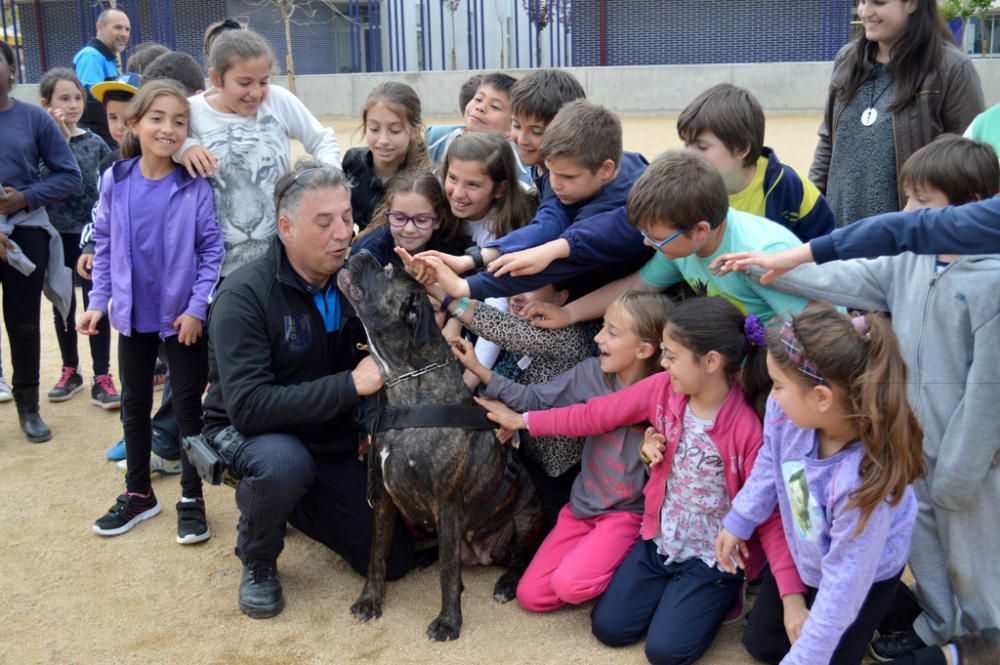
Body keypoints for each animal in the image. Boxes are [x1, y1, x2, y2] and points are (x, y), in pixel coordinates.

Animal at [342, 249, 548, 640]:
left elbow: (449, 574)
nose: (359, 250)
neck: (409, 384)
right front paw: (370, 600)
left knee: (520, 560)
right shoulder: (385, 498)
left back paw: (507, 583)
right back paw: (424, 555)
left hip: (526, 516)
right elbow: (378, 554)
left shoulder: (447, 503)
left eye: (387, 270)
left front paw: (449, 621)